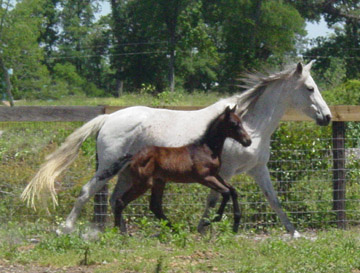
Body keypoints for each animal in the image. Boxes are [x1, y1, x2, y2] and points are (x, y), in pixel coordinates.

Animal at [107, 105, 250, 233]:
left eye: (241, 122)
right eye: (234, 123)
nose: (248, 141)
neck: (207, 149)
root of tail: (133, 157)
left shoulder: (215, 174)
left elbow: (233, 190)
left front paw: (236, 223)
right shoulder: (204, 177)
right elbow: (226, 192)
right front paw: (212, 220)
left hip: (159, 182)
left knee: (155, 206)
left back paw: (175, 229)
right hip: (143, 183)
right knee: (120, 201)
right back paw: (119, 232)